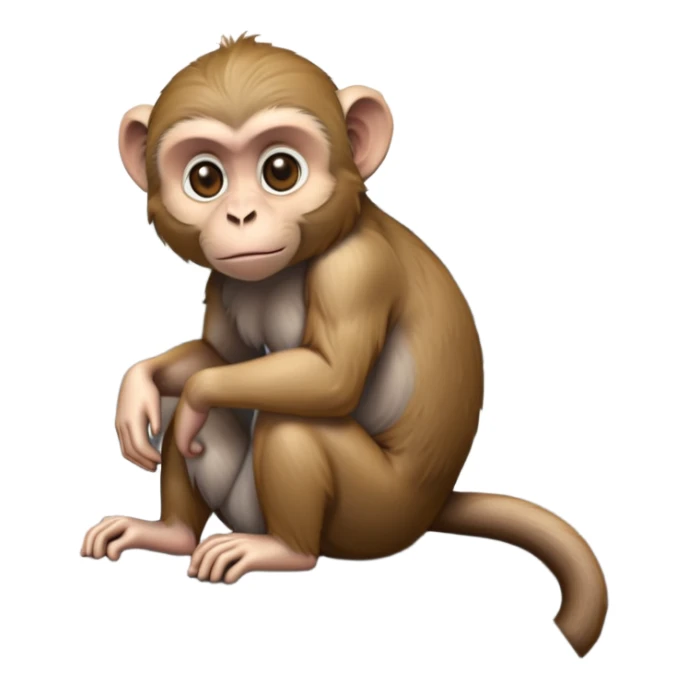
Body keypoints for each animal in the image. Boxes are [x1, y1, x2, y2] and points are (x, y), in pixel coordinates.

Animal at [81, 34, 607, 656]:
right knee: (194, 409)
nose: (240, 215)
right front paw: (138, 380)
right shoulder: (225, 280)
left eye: (280, 170)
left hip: (373, 517)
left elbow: (326, 380)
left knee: (293, 422)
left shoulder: (356, 270)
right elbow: (222, 363)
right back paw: (172, 532)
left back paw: (284, 550)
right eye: (205, 178)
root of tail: (431, 509)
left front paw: (191, 392)